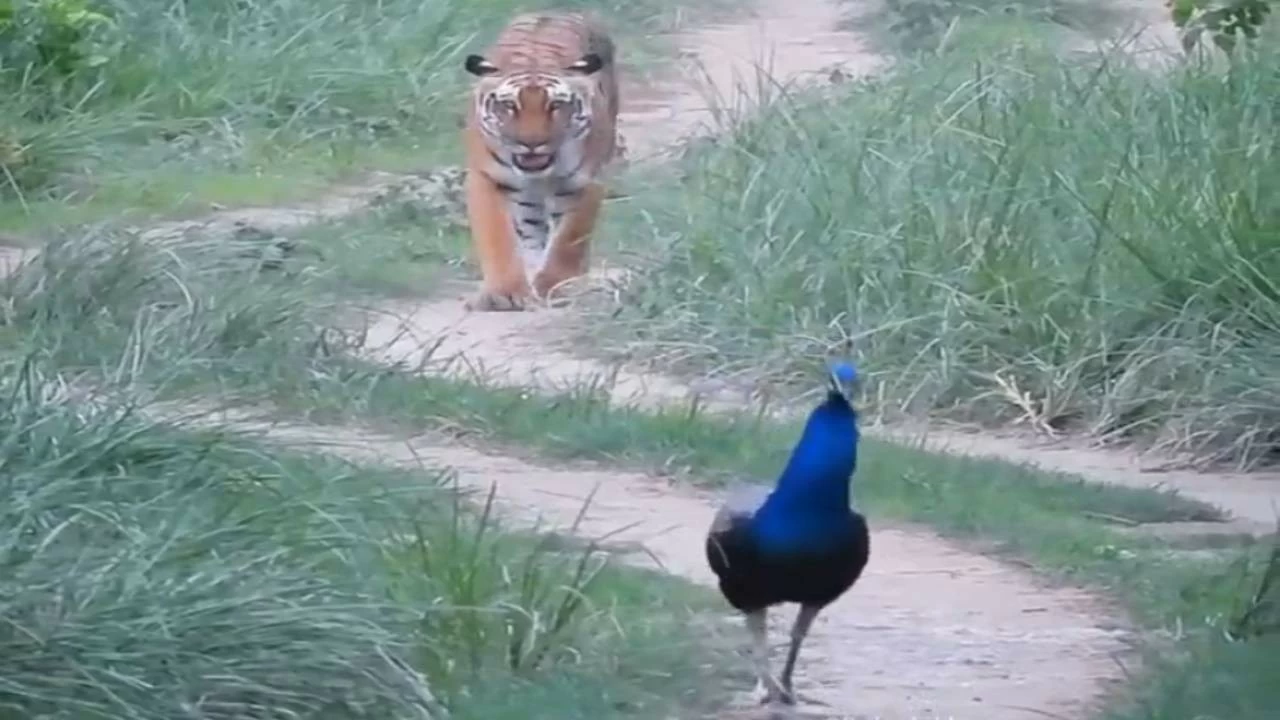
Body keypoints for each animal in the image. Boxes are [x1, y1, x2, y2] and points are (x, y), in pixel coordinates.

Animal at [460, 11, 621, 312]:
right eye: (509, 106)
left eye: (555, 105)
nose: (531, 143)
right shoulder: (486, 177)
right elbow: (497, 236)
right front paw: (504, 293)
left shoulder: (587, 180)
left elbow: (570, 237)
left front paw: (556, 285)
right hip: (525, 201)